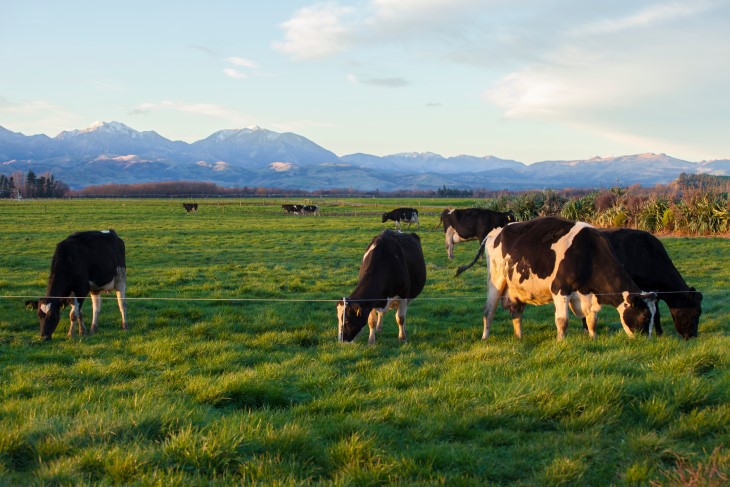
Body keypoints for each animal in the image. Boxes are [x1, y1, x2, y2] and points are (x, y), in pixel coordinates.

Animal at [479, 216, 656, 341]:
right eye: (645, 316)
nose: (647, 341)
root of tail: (496, 231)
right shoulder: (560, 288)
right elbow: (562, 320)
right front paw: (560, 341)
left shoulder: (589, 294)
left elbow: (592, 320)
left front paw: (593, 338)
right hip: (496, 280)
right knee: (489, 310)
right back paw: (485, 337)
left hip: (517, 287)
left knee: (516, 312)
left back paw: (519, 337)